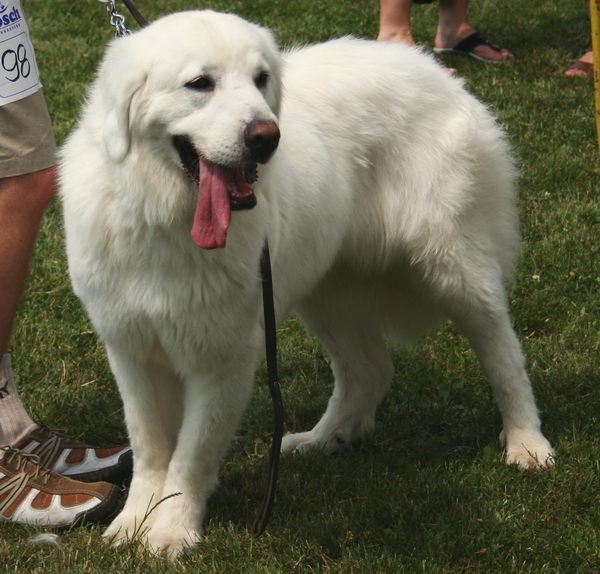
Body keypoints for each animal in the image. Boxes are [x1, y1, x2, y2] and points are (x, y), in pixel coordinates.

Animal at [59, 7, 552, 560]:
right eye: (200, 83)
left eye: (261, 79)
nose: (266, 136)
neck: (164, 216)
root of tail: (437, 72)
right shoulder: (132, 350)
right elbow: (149, 447)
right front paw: (132, 523)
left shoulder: (225, 357)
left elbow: (191, 454)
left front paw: (170, 530)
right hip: (327, 291)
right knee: (369, 370)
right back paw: (323, 440)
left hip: (454, 267)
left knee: (503, 353)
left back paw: (527, 443)